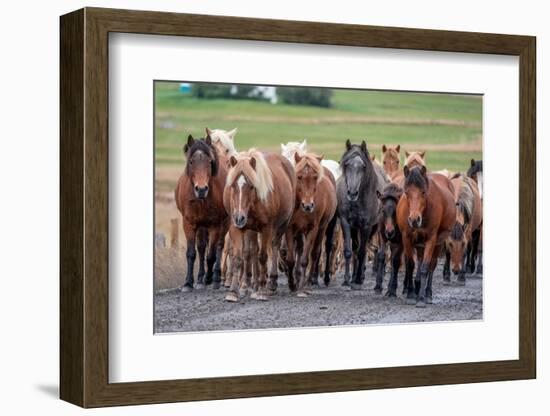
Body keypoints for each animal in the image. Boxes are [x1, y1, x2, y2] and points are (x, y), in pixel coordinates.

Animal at [176, 135, 230, 290]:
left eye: (209, 162)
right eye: (191, 162)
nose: (201, 189)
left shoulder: (215, 225)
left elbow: (211, 254)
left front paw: (209, 278)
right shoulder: (188, 223)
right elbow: (191, 253)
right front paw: (188, 282)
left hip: (224, 223)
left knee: (219, 246)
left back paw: (215, 278)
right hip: (201, 225)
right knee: (201, 248)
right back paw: (200, 279)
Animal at [223, 150, 298, 302]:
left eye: (252, 186)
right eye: (233, 185)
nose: (239, 218)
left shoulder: (266, 228)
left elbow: (263, 257)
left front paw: (262, 291)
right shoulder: (236, 228)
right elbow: (238, 258)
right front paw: (233, 292)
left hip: (282, 225)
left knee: (274, 246)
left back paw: (271, 283)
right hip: (251, 230)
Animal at [284, 153, 340, 296]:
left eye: (315, 177)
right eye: (299, 176)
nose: (308, 205)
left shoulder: (312, 229)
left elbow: (306, 259)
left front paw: (302, 286)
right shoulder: (290, 228)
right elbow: (291, 259)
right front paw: (292, 284)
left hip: (325, 227)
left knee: (319, 251)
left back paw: (315, 280)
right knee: (301, 249)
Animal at [336, 140, 388, 290]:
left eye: (363, 166)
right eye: (346, 164)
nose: (352, 193)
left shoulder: (366, 226)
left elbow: (361, 252)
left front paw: (358, 279)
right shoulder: (346, 223)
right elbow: (349, 251)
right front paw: (347, 279)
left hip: (376, 227)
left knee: (372, 250)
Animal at [396, 165, 458, 306]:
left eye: (423, 192)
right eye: (406, 192)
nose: (414, 219)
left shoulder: (431, 239)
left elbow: (425, 267)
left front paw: (421, 298)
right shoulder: (406, 237)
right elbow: (410, 265)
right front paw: (411, 294)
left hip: (439, 242)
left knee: (431, 265)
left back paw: (427, 293)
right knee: (419, 259)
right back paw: (418, 286)